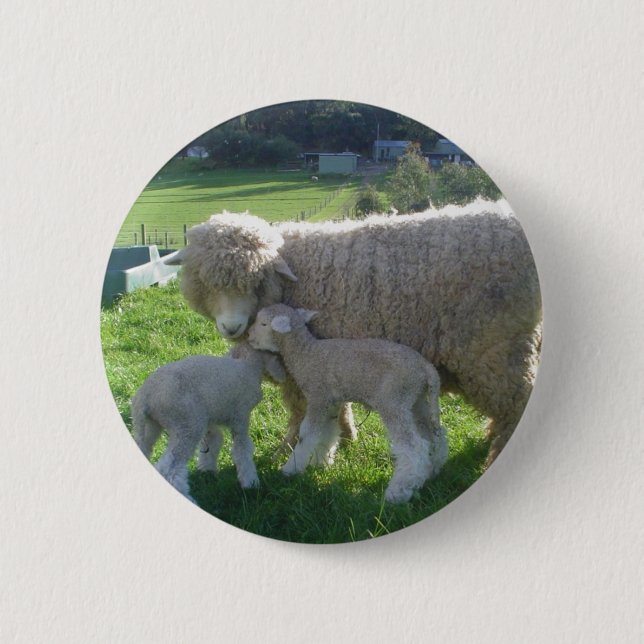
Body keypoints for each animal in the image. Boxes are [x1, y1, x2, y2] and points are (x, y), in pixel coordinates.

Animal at [130, 342, 286, 501]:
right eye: (277, 354)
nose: (285, 374)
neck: (248, 365)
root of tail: (145, 397)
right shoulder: (240, 416)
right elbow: (243, 449)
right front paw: (250, 483)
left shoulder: (210, 418)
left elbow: (214, 441)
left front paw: (207, 469)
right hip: (187, 424)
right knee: (170, 469)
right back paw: (187, 497)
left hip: (150, 425)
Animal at [165, 209, 542, 465]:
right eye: (204, 281)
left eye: (256, 280)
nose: (231, 327)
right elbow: (336, 406)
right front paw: (345, 437)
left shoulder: (301, 367)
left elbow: (300, 411)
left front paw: (289, 449)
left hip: (492, 348)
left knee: (516, 401)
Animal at [247, 304, 448, 503]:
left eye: (263, 323)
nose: (249, 337)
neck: (306, 353)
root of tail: (427, 369)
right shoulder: (331, 402)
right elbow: (327, 432)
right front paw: (321, 463)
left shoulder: (318, 396)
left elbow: (307, 434)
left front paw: (291, 469)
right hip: (416, 400)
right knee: (435, 436)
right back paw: (431, 472)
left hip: (394, 400)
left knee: (415, 446)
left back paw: (398, 492)